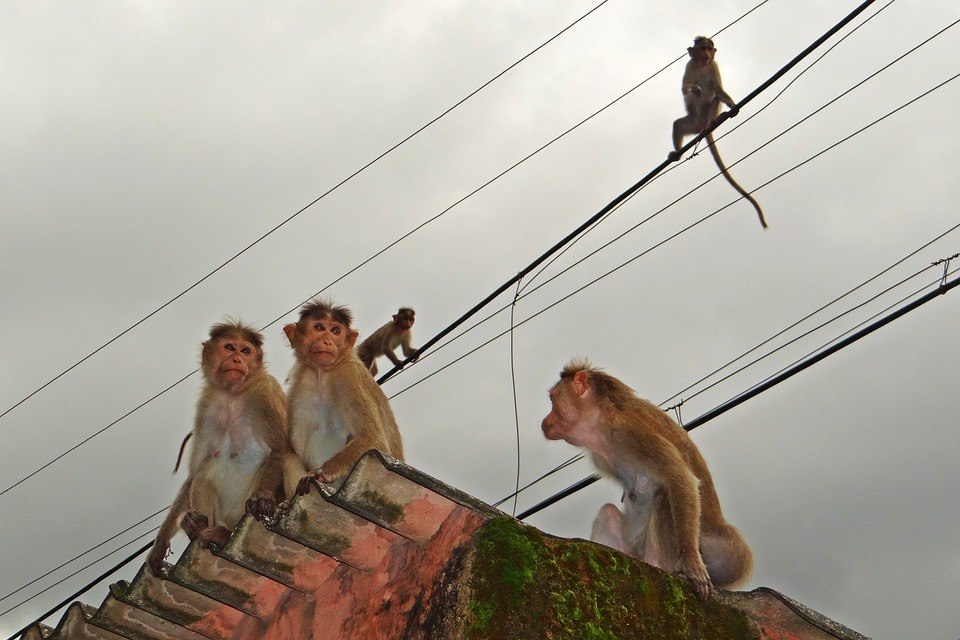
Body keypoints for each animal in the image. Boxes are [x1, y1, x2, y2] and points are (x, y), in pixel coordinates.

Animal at [147, 322, 292, 576]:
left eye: (245, 351)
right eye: (230, 347)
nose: (237, 359)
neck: (232, 393)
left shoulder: (266, 393)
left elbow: (279, 449)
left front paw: (262, 498)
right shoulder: (207, 405)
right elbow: (194, 473)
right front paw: (159, 546)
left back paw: (223, 536)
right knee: (204, 472)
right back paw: (200, 527)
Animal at [280, 298, 404, 498]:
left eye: (335, 331)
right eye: (319, 327)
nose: (327, 341)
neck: (322, 374)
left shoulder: (350, 376)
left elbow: (375, 438)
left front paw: (321, 472)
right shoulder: (298, 388)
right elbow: (295, 451)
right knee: (288, 457)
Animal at [540, 360, 752, 600]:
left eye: (553, 399)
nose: (545, 420)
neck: (602, 421)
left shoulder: (631, 431)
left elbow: (681, 478)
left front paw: (691, 563)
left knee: (664, 496)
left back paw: (659, 564)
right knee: (608, 512)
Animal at [668, 35, 764, 230]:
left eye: (709, 48)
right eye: (702, 48)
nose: (706, 53)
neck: (702, 65)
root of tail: (701, 125)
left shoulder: (714, 66)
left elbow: (719, 91)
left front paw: (733, 106)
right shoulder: (690, 64)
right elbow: (685, 88)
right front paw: (692, 89)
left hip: (705, 115)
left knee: (714, 101)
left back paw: (714, 120)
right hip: (692, 122)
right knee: (678, 125)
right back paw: (677, 155)